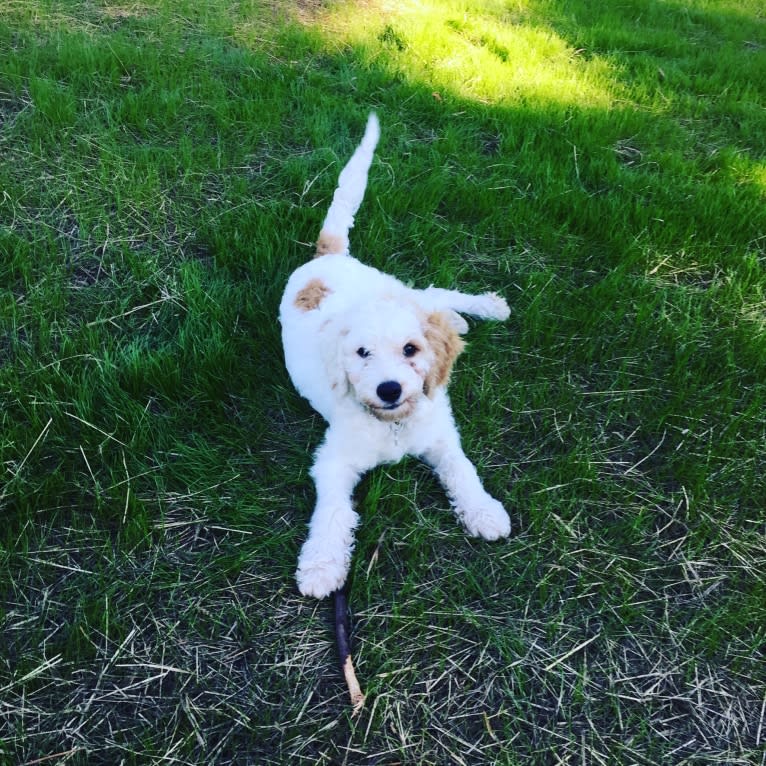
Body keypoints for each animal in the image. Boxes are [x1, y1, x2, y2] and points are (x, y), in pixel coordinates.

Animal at [280, 114, 512, 604]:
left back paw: (483, 310)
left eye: (411, 350)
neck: (395, 426)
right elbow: (332, 512)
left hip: (399, 289)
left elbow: (463, 471)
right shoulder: (333, 460)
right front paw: (321, 567)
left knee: (432, 294)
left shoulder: (443, 438)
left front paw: (484, 513)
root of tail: (328, 257)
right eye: (361, 353)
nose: (390, 389)